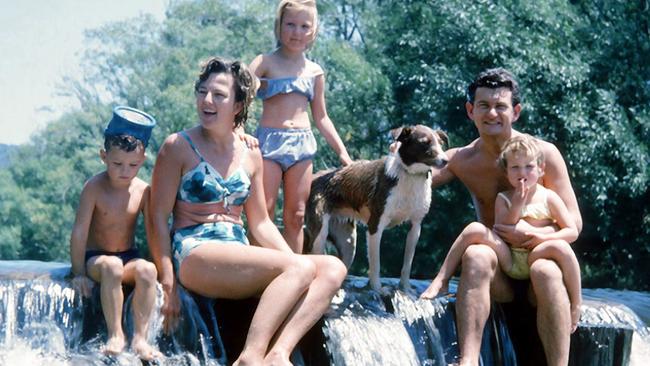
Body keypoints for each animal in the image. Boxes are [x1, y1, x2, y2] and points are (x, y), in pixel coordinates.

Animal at [302, 124, 446, 294]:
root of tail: (314, 177)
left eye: (440, 143)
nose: (446, 160)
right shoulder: (375, 226)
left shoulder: (416, 226)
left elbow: (407, 264)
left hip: (348, 243)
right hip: (319, 234)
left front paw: (405, 289)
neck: (410, 174)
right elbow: (375, 264)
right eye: (424, 143)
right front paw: (378, 289)